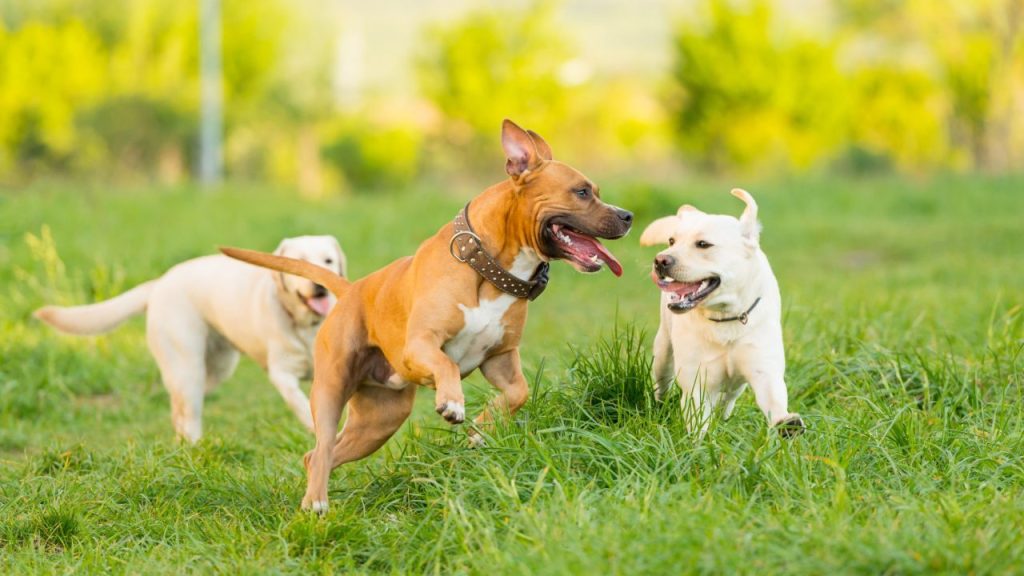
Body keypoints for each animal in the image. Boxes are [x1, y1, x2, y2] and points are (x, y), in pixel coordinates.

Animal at [638, 188, 798, 434]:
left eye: (703, 244)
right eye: (672, 241)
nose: (660, 260)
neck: (725, 316)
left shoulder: (764, 370)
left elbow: (774, 402)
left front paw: (787, 424)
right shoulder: (697, 382)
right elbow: (697, 423)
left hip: (736, 385)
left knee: (728, 398)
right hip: (663, 354)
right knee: (662, 385)